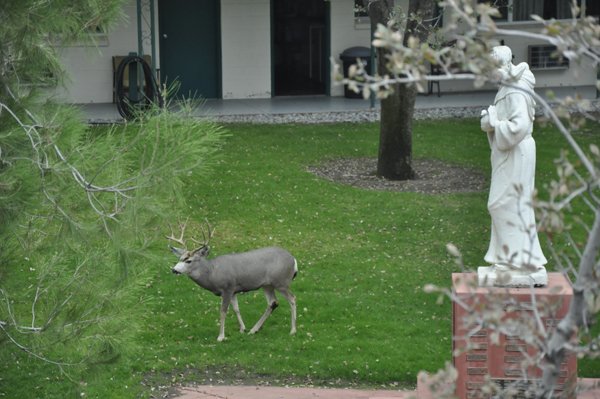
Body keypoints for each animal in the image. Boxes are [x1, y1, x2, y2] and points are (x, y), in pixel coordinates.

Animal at [166, 220, 298, 342]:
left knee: (292, 298)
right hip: (267, 284)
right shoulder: (234, 290)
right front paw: (242, 329)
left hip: (281, 281)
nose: (174, 270)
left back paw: (293, 330)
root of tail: (294, 260)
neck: (212, 273)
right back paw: (254, 330)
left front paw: (220, 336)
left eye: (189, 261)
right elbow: (236, 309)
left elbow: (223, 311)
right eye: (180, 258)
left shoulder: (227, 287)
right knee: (273, 302)